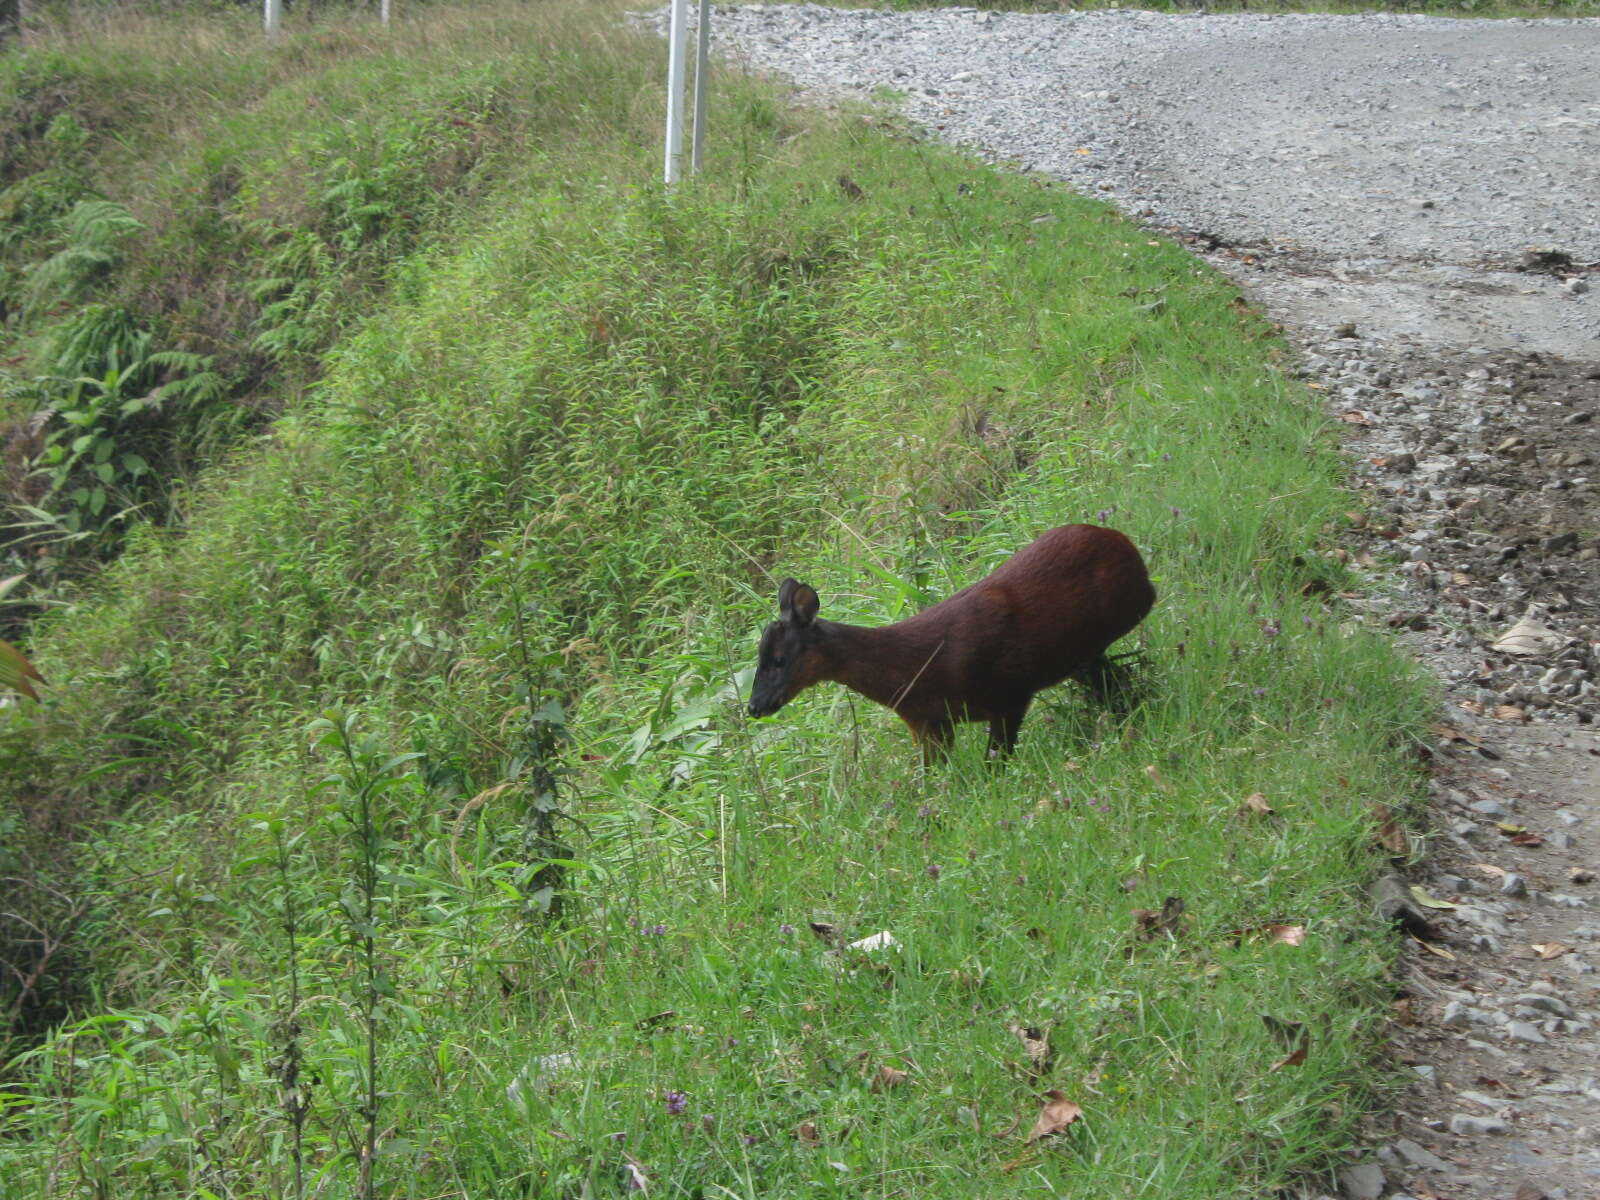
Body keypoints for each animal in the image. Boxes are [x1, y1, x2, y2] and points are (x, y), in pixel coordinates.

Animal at [742, 524, 1158, 764]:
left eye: (778, 660)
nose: (755, 706)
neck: (916, 669)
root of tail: (1130, 551)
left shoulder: (1009, 694)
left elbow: (994, 765)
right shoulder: (929, 725)